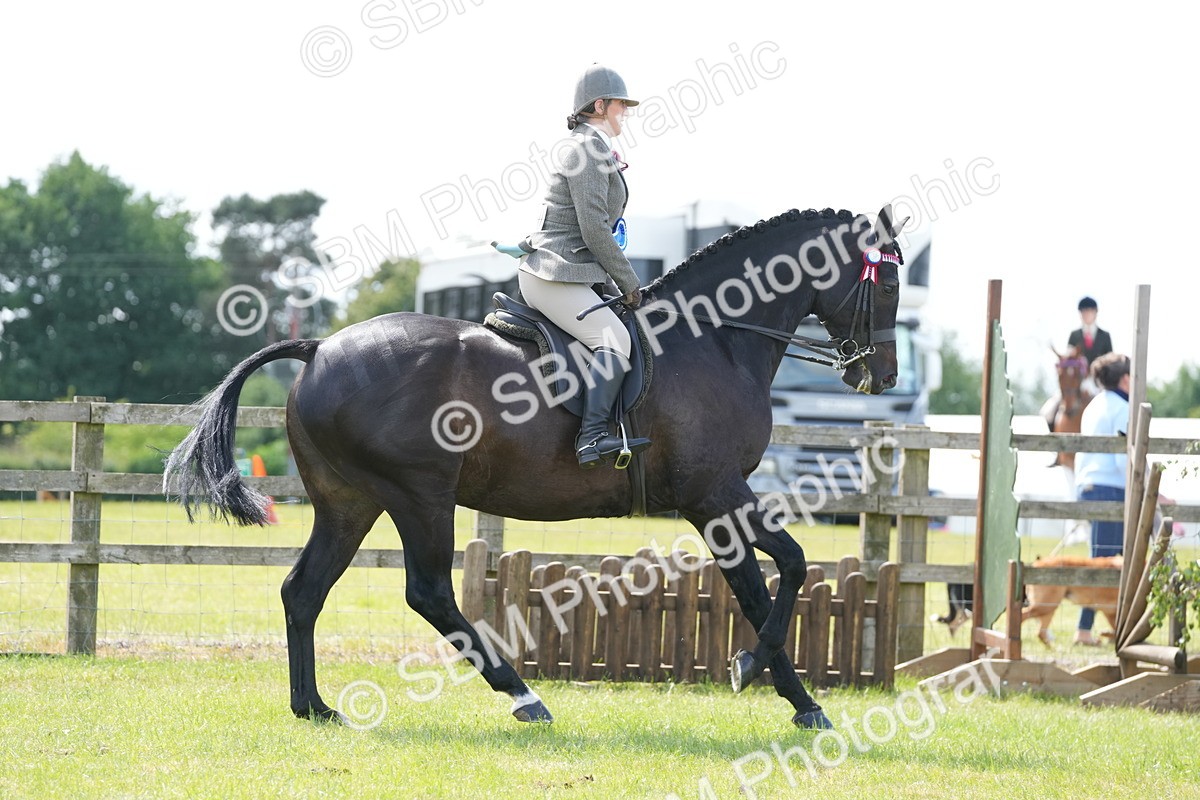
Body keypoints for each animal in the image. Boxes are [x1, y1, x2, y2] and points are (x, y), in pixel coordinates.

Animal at [164, 205, 905, 731]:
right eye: (889, 282)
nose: (881, 375)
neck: (717, 338)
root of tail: (319, 348)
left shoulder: (720, 498)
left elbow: (772, 577)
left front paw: (796, 697)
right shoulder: (714, 494)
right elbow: (780, 574)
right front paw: (761, 671)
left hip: (350, 501)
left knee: (304, 590)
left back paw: (314, 707)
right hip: (419, 495)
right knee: (428, 592)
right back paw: (521, 695)